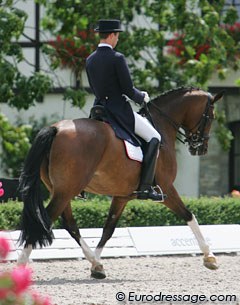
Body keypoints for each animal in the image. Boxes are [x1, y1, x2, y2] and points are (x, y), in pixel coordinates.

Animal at [17, 85, 224, 278]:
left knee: (69, 224)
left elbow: (108, 229)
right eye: (212, 117)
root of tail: (56, 129)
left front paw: (96, 265)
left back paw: (95, 263)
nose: (201, 148)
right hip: (66, 190)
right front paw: (210, 257)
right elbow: (189, 215)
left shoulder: (122, 196)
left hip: (61, 190)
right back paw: (20, 266)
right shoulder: (166, 189)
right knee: (45, 222)